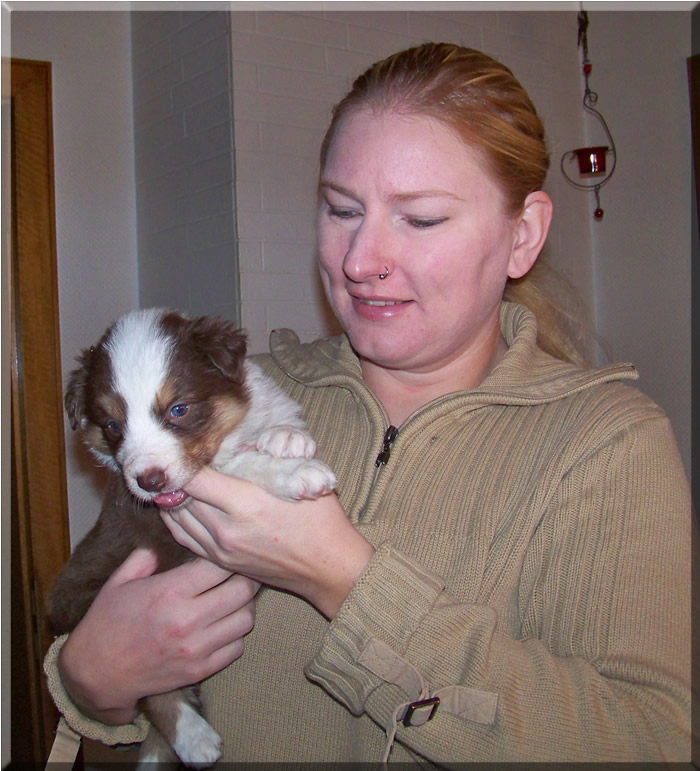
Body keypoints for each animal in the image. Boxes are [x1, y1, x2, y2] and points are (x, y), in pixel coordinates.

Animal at [47, 307, 337, 767]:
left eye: (178, 409)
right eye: (112, 425)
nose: (149, 480)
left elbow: (270, 417)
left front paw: (285, 436)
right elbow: (242, 467)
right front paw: (296, 473)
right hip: (90, 605)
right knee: (154, 691)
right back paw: (192, 737)